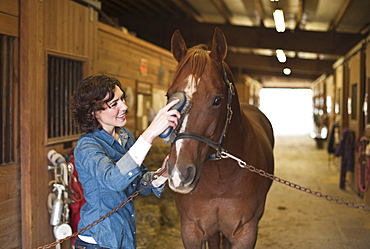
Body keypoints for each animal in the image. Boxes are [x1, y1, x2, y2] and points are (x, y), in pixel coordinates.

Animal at [165, 28, 274, 248]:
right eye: (169, 96)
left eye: (217, 100)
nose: (179, 174)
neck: (220, 179)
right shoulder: (191, 231)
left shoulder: (245, 233)